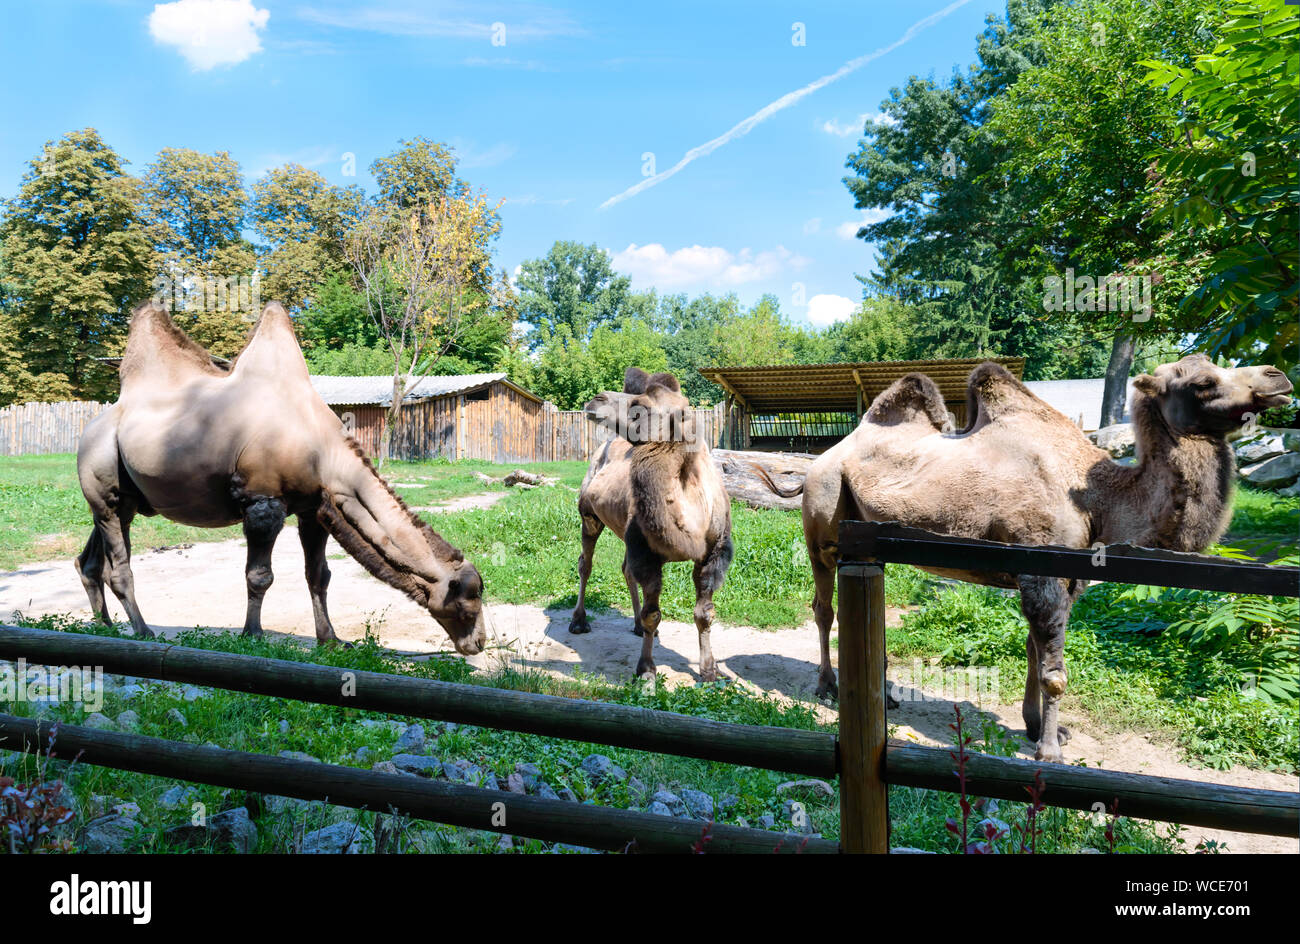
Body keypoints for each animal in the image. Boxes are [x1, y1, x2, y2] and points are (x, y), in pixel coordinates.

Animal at [73, 299, 488, 655]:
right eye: (468, 602)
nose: (478, 643)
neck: (323, 450)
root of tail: (90, 429)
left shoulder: (313, 508)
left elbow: (318, 575)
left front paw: (331, 639)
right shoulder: (263, 502)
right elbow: (260, 575)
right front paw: (253, 635)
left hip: (123, 500)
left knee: (91, 558)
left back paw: (104, 626)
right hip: (102, 476)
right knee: (118, 567)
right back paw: (143, 631)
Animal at [574, 366, 738, 686]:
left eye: (642, 407)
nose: (596, 399)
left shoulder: (713, 554)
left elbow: (705, 613)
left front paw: (710, 671)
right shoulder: (647, 552)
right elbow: (654, 613)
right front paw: (646, 670)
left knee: (626, 569)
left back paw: (636, 627)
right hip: (589, 514)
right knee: (585, 563)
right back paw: (578, 622)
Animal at [790, 353, 1289, 759]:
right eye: (1202, 382)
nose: (1278, 377)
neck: (1098, 498)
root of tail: (822, 458)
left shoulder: (1065, 576)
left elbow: (1033, 651)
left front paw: (1037, 728)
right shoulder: (1041, 569)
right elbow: (1053, 672)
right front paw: (1050, 750)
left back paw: (886, 695)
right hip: (823, 515)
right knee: (823, 605)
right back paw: (827, 687)